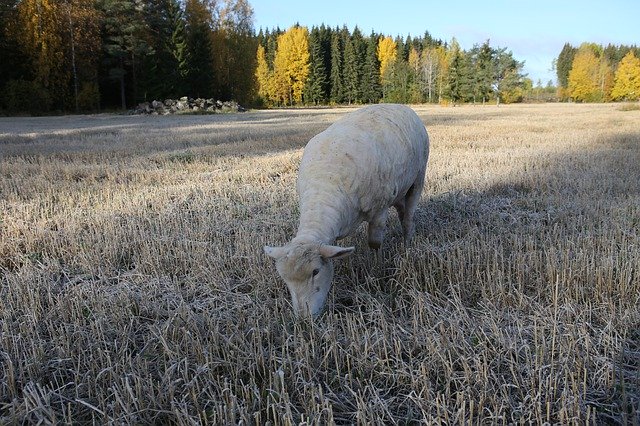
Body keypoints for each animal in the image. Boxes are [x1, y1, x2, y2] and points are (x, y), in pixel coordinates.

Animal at [262, 103, 432, 316]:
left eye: (316, 271)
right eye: (284, 278)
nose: (304, 318)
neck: (325, 186)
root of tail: (402, 106)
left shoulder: (379, 209)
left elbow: (375, 243)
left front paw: (376, 269)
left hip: (418, 178)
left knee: (408, 217)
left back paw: (407, 245)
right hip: (399, 190)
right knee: (402, 212)